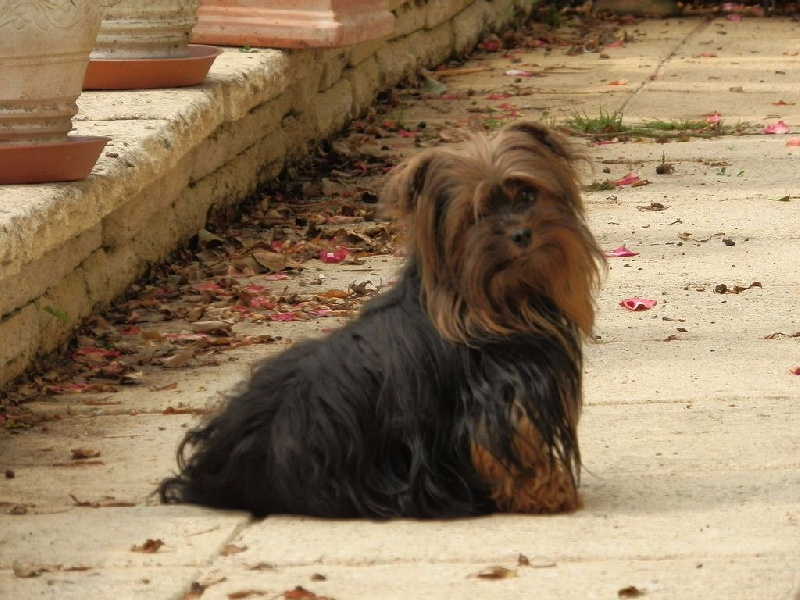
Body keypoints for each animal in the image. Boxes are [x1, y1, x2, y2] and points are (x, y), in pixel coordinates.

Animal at [159, 120, 604, 516]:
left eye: (527, 194)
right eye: (476, 216)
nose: (521, 234)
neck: (495, 299)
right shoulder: (499, 393)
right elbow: (511, 445)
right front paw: (547, 493)